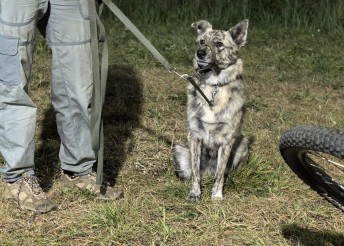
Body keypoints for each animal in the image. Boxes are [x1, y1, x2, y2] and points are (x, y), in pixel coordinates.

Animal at [173, 19, 249, 202]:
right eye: (201, 41)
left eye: (219, 44)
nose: (200, 53)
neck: (213, 86)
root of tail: (207, 172)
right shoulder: (194, 135)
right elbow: (195, 172)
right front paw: (195, 193)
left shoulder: (227, 140)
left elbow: (220, 173)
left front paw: (216, 195)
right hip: (178, 150)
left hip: (243, 144)